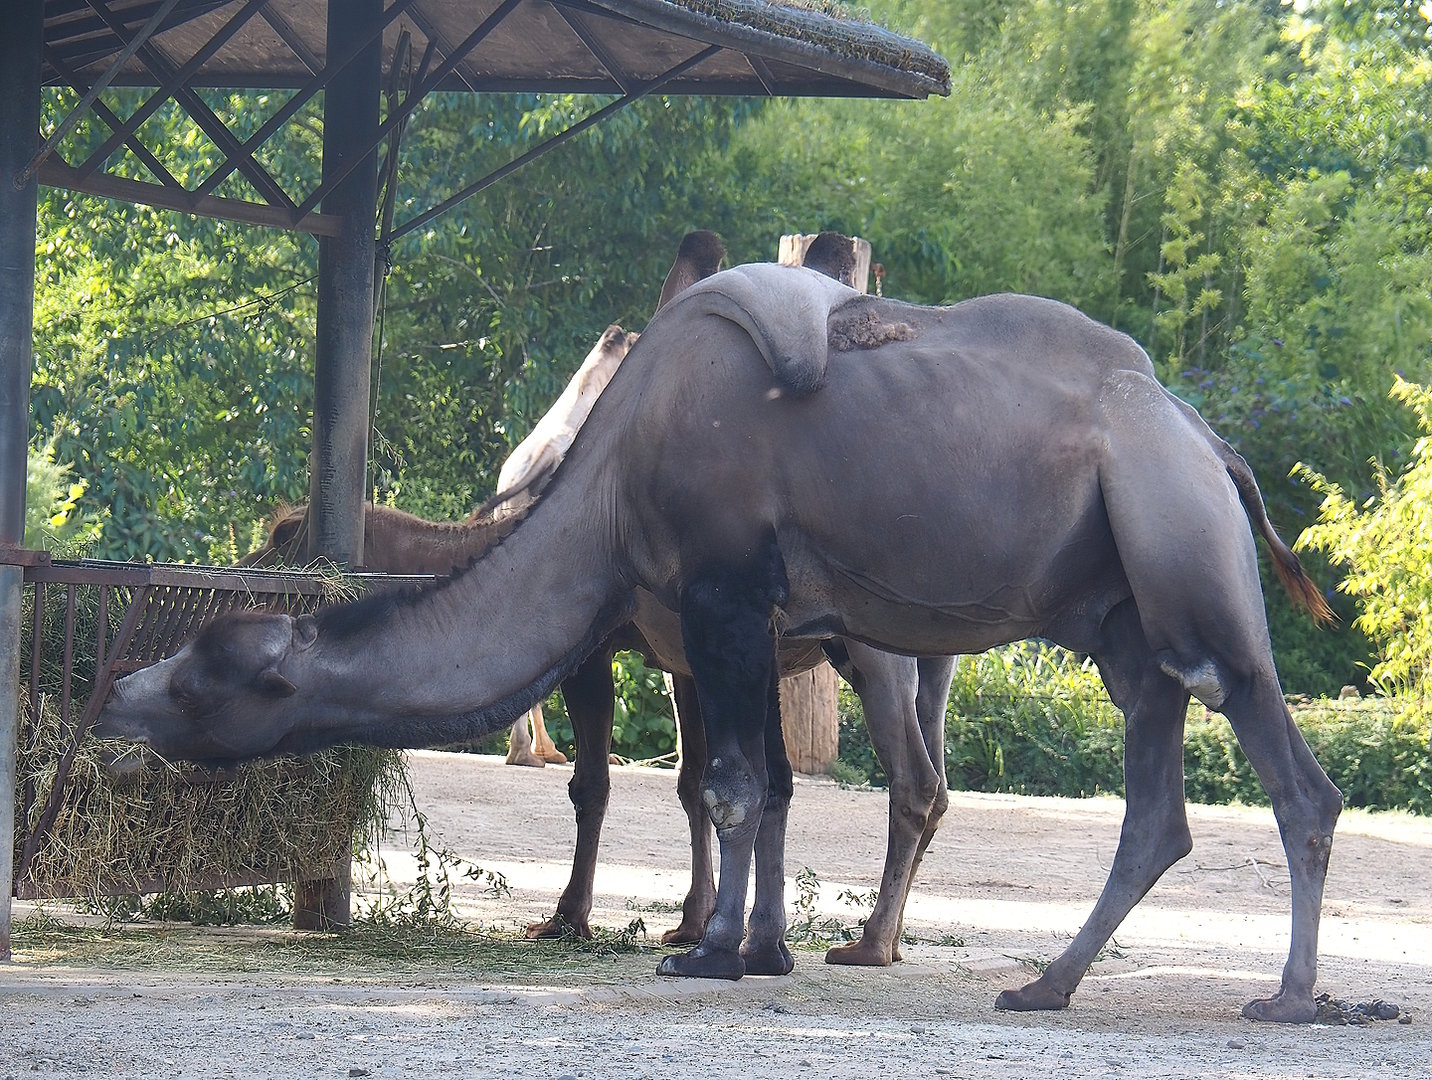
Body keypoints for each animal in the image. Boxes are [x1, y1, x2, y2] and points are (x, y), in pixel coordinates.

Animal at [96, 262, 1340, 1021]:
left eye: (205, 678)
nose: (112, 696)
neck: (604, 479)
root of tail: (1214, 445)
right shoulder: (731, 622)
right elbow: (757, 785)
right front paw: (754, 948)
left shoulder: (724, 596)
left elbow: (733, 787)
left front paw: (705, 949)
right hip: (1118, 617)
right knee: (1156, 803)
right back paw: (1043, 986)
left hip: (1182, 555)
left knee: (1285, 769)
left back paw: (1284, 997)